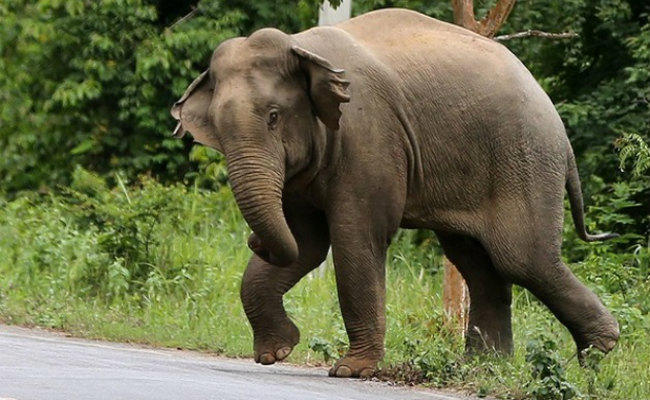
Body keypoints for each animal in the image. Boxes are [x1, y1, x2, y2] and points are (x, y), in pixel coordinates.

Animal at [171, 8, 616, 378]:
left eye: (274, 117)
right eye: (216, 127)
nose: (253, 241)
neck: (304, 48)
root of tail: (558, 124)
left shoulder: (369, 137)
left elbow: (355, 237)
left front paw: (350, 371)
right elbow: (306, 243)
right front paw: (275, 353)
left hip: (524, 160)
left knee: (521, 258)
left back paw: (600, 353)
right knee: (476, 263)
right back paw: (483, 368)